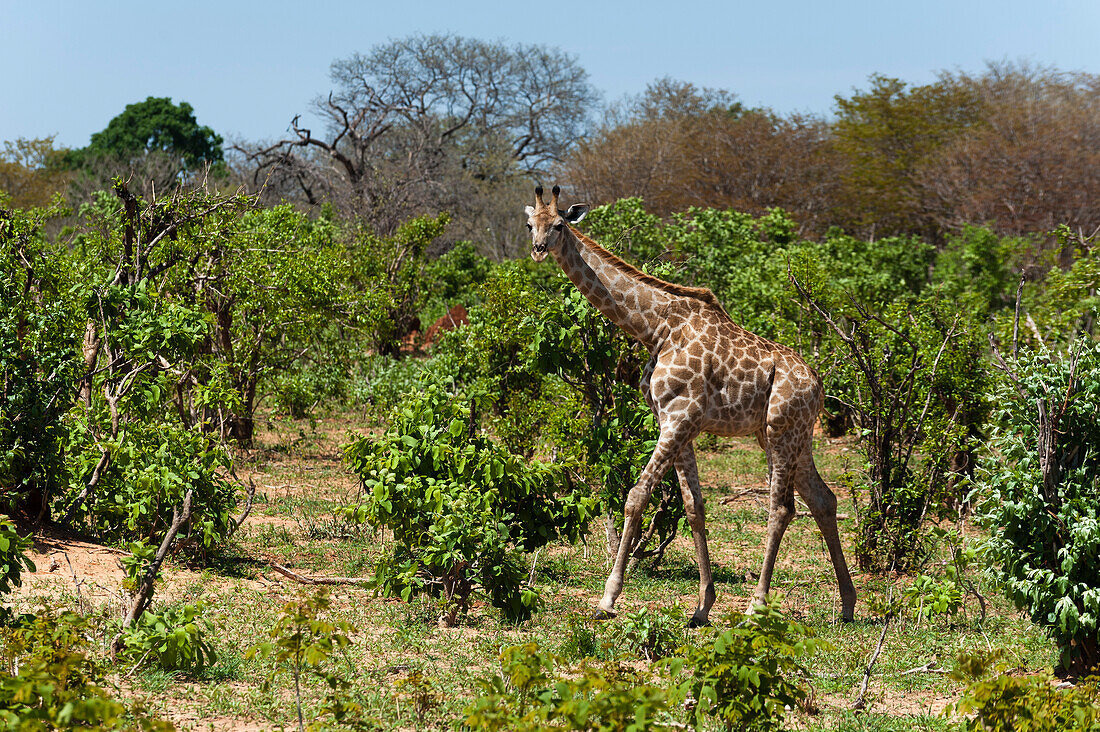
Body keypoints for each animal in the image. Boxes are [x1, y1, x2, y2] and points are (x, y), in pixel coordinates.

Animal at [525, 186, 858, 625]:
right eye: (530, 224)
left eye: (560, 225)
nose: (538, 249)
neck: (655, 328)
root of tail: (819, 384)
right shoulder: (676, 421)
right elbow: (693, 507)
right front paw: (702, 606)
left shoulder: (680, 417)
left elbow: (637, 496)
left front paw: (608, 598)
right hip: (789, 434)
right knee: (823, 499)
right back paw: (848, 604)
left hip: (780, 431)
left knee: (781, 508)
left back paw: (757, 605)